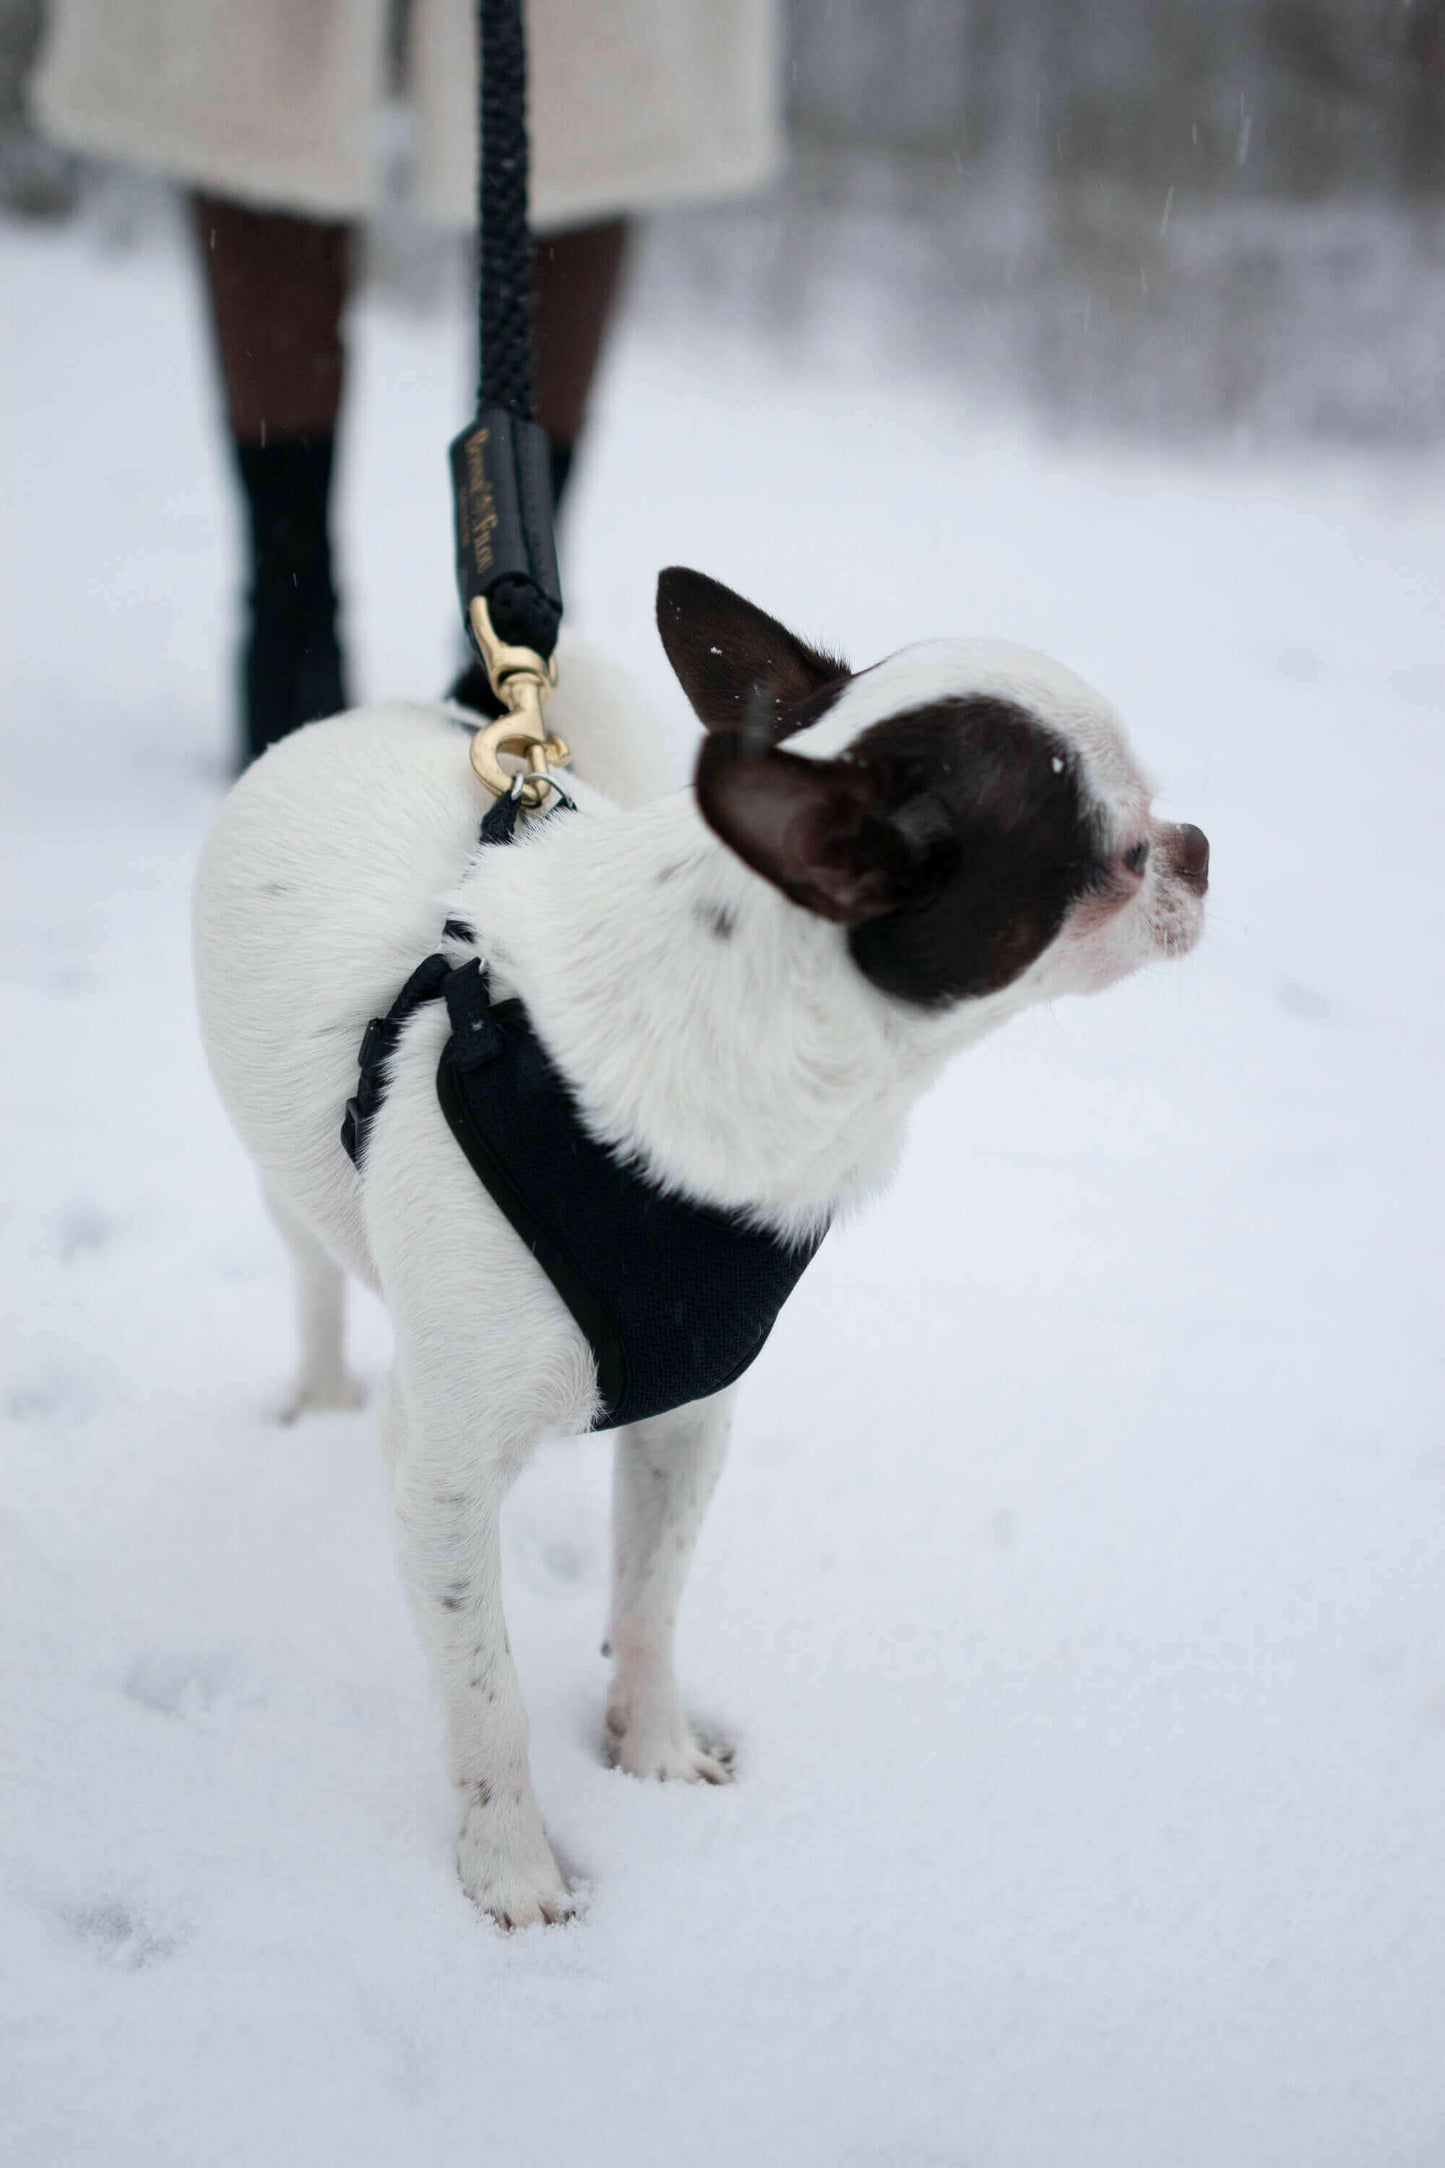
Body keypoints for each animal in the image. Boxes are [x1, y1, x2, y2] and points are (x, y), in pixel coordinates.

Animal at [191, 568, 1213, 1925]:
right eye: (1126, 855)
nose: (1201, 849)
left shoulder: (687, 1411)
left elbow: (650, 1598)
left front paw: (653, 1751)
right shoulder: (441, 1475)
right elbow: (486, 1692)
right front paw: (512, 1870)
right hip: (288, 1191)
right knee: (313, 1276)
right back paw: (313, 1394)